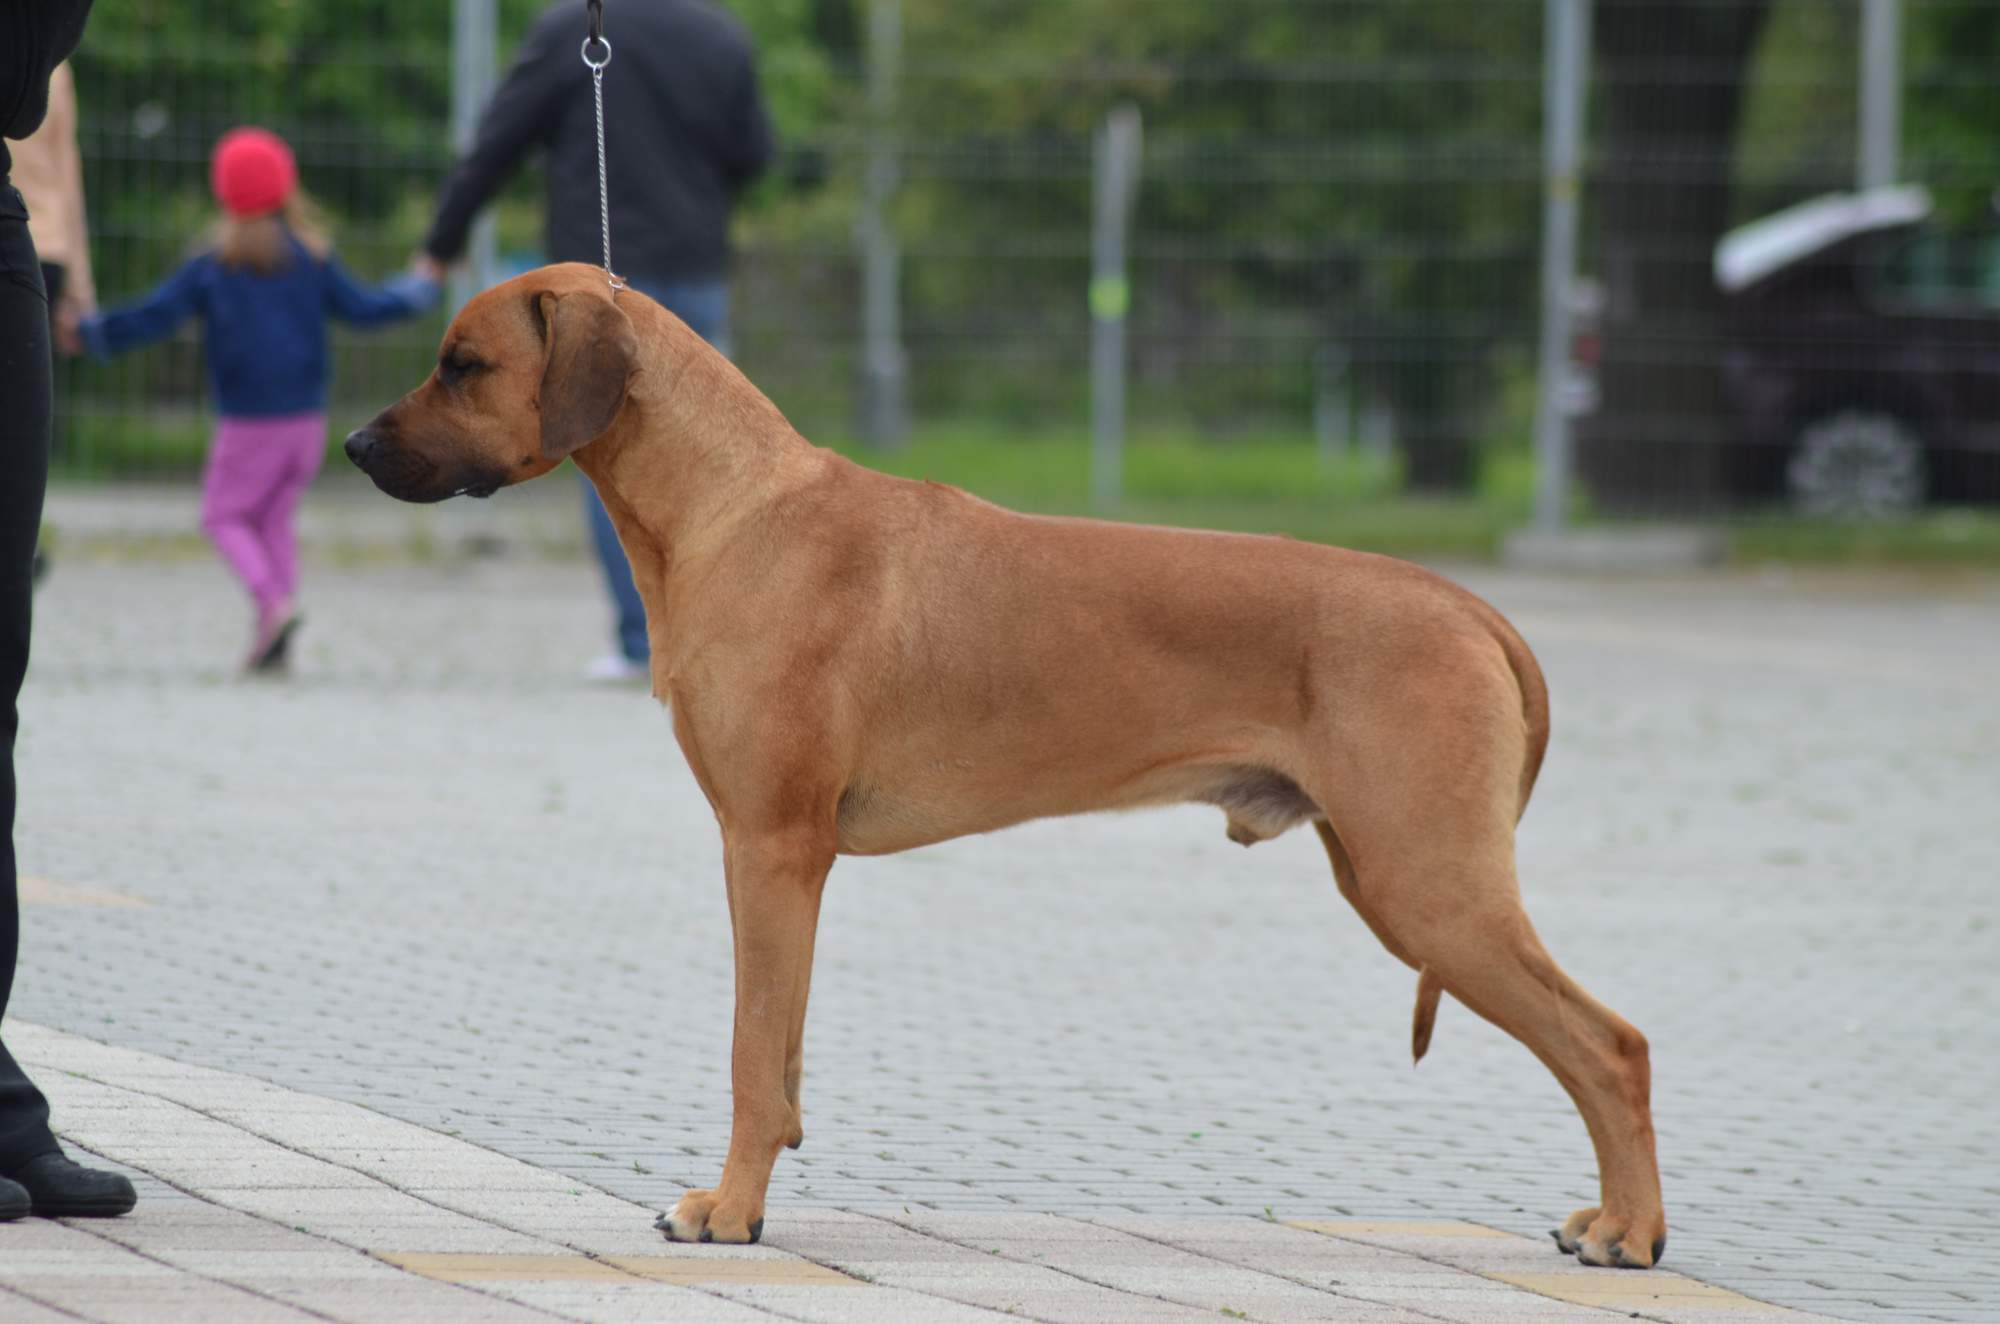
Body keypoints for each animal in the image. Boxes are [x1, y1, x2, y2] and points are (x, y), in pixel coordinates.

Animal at [348, 264, 1672, 1272]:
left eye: (463, 364)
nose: (355, 443)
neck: (732, 505)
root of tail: (1466, 605)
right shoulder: (784, 864)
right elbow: (781, 1055)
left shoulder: (769, 847)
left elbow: (746, 1051)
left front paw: (726, 1209)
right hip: (1395, 877)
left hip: (1427, 883)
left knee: (1610, 1046)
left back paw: (1630, 1231)